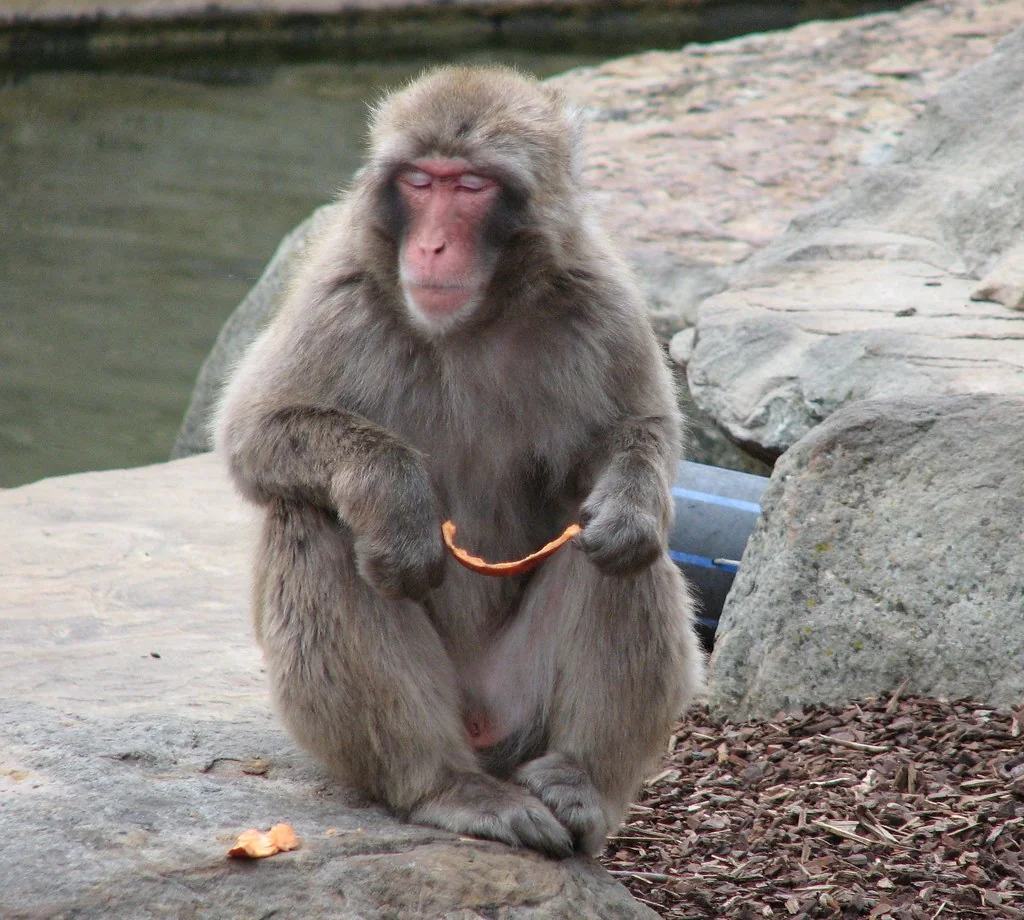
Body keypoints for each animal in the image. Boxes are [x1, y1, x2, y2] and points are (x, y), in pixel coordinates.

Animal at [216, 65, 705, 858]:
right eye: (421, 181)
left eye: (471, 186)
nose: (434, 247)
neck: (475, 321)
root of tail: (479, 727)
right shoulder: (339, 294)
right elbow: (252, 432)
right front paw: (397, 503)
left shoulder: (601, 297)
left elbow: (640, 431)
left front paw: (629, 503)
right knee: (311, 520)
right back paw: (446, 787)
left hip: (520, 700)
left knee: (622, 558)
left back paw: (579, 781)